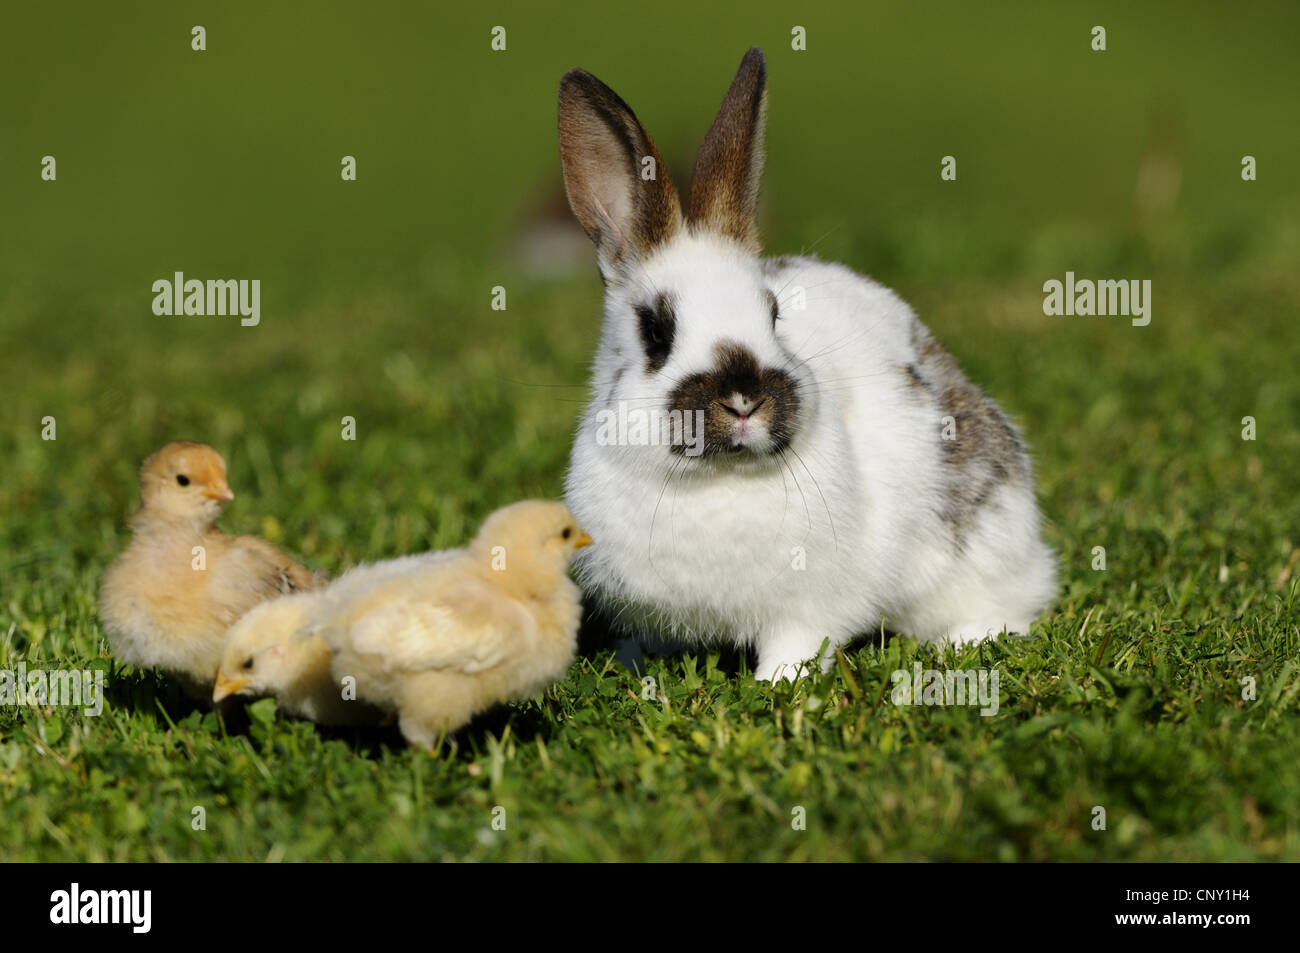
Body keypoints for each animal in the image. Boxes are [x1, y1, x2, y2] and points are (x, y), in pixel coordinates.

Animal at [553, 48, 1050, 681]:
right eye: (657, 331)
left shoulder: (808, 611)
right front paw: (635, 667)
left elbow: (797, 646)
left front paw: (776, 685)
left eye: (773, 314)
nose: (743, 399)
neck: (719, 483)